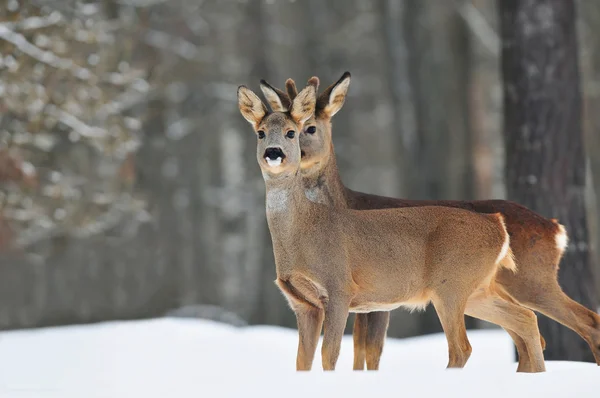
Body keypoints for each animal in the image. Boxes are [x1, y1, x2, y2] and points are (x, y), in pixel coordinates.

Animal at [258, 70, 600, 370]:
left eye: (310, 128)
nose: (286, 155)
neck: (341, 202)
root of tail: (554, 227)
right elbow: (362, 352)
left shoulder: (371, 299)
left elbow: (367, 351)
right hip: (484, 291)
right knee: (531, 330)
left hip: (526, 280)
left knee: (582, 322)